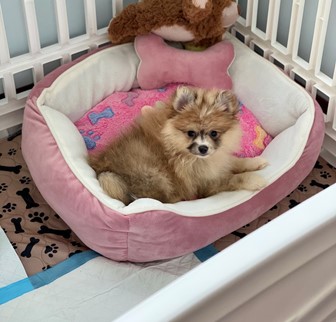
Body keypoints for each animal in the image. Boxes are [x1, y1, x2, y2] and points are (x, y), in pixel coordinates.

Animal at [89, 86, 268, 204]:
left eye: (213, 133)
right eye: (191, 133)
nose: (203, 148)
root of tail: (101, 171)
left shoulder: (218, 161)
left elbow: (236, 162)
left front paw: (256, 162)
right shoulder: (206, 184)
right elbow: (233, 179)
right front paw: (255, 180)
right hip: (153, 174)